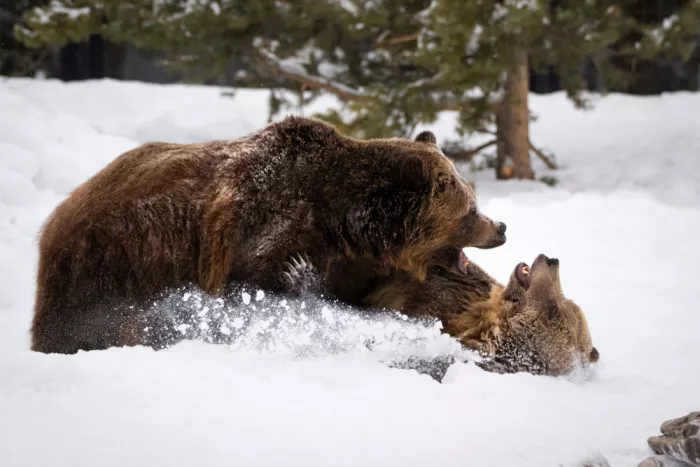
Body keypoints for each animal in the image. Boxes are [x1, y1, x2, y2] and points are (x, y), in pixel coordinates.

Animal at [31, 116, 507, 354]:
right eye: (470, 208)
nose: (500, 227)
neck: (346, 222)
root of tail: (62, 210)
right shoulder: (259, 231)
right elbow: (262, 286)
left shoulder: (354, 264)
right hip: (114, 259)